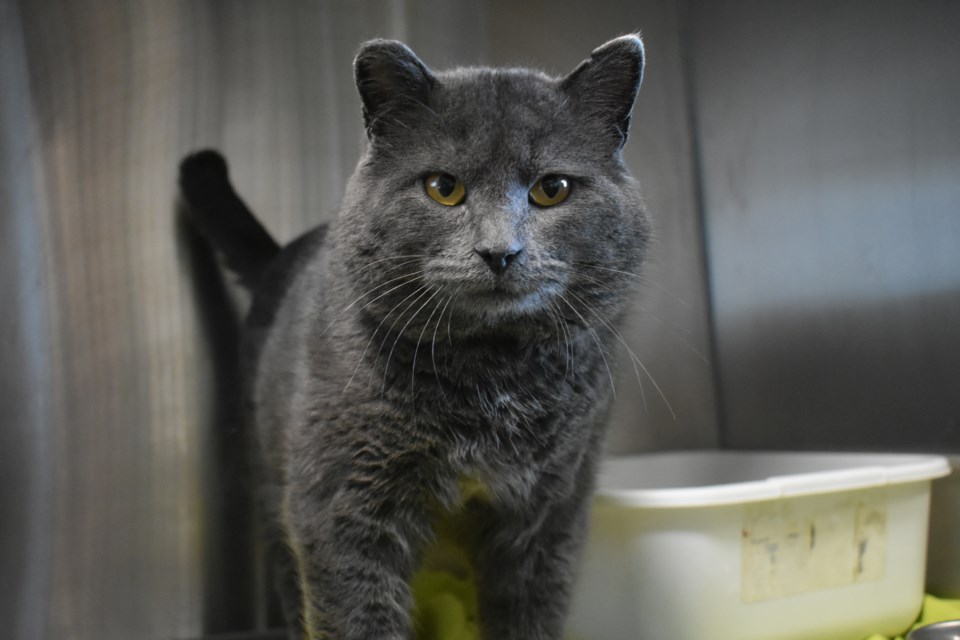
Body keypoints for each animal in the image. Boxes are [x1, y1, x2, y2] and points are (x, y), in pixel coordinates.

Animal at [178, 33, 644, 640]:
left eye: (553, 189)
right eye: (443, 187)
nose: (500, 251)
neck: (491, 377)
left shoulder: (550, 510)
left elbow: (532, 613)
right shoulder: (341, 504)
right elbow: (356, 616)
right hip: (268, 479)